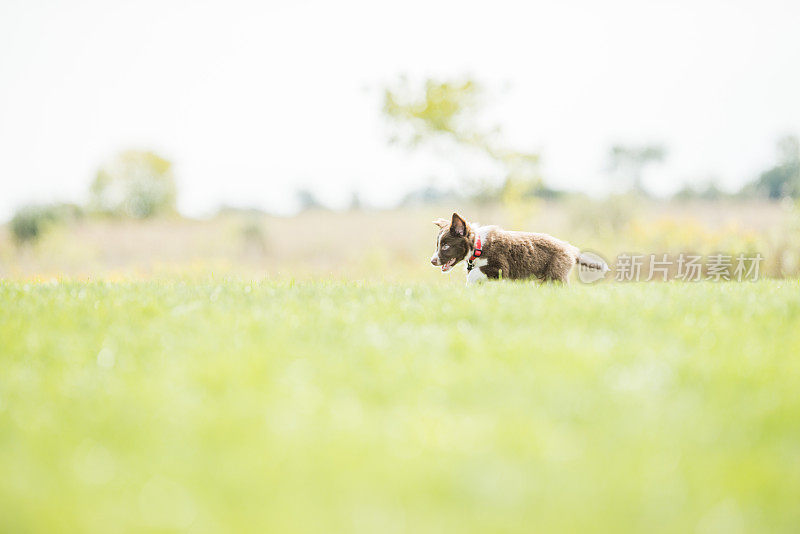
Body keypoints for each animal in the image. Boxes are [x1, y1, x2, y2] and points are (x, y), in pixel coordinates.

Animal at [432, 213, 608, 284]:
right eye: (438, 245)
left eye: (446, 246)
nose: (432, 261)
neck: (478, 245)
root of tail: (569, 248)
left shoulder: (500, 267)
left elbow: (475, 273)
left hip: (556, 273)